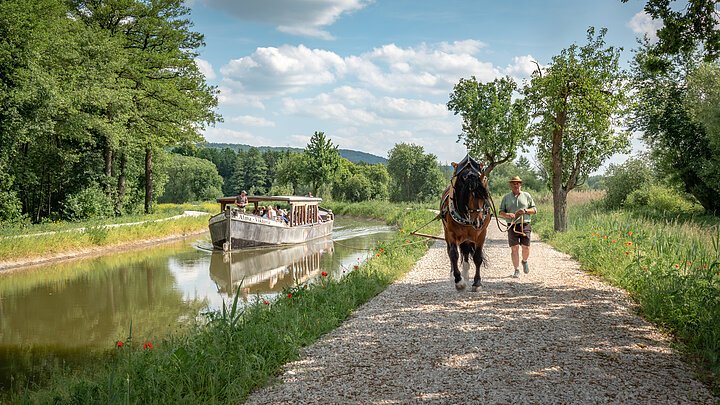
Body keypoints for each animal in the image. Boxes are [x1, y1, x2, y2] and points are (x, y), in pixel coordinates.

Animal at [442, 154, 492, 290]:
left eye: (485, 197)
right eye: (469, 196)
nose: (478, 222)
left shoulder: (481, 234)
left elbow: (477, 257)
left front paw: (477, 282)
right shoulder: (451, 233)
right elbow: (453, 254)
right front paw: (459, 281)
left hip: (469, 236)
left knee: (465, 252)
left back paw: (466, 273)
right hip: (448, 232)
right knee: (452, 251)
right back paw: (456, 275)